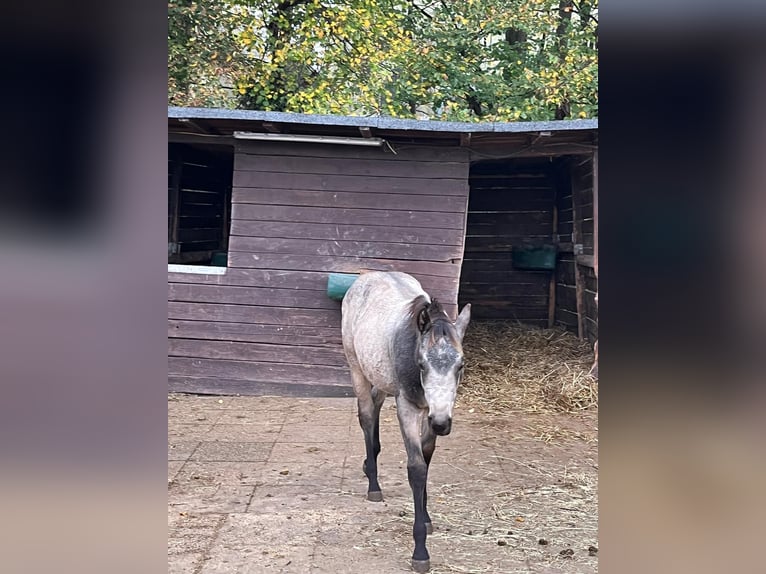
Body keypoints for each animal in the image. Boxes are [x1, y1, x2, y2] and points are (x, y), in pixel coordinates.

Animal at [341, 271, 471, 573]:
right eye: (422, 365)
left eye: (460, 365)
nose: (441, 424)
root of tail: (364, 278)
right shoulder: (409, 408)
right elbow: (416, 468)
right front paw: (420, 551)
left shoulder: (432, 413)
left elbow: (427, 458)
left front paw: (426, 517)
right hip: (357, 370)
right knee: (366, 415)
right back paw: (373, 484)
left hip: (381, 378)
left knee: (376, 403)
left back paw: (369, 462)